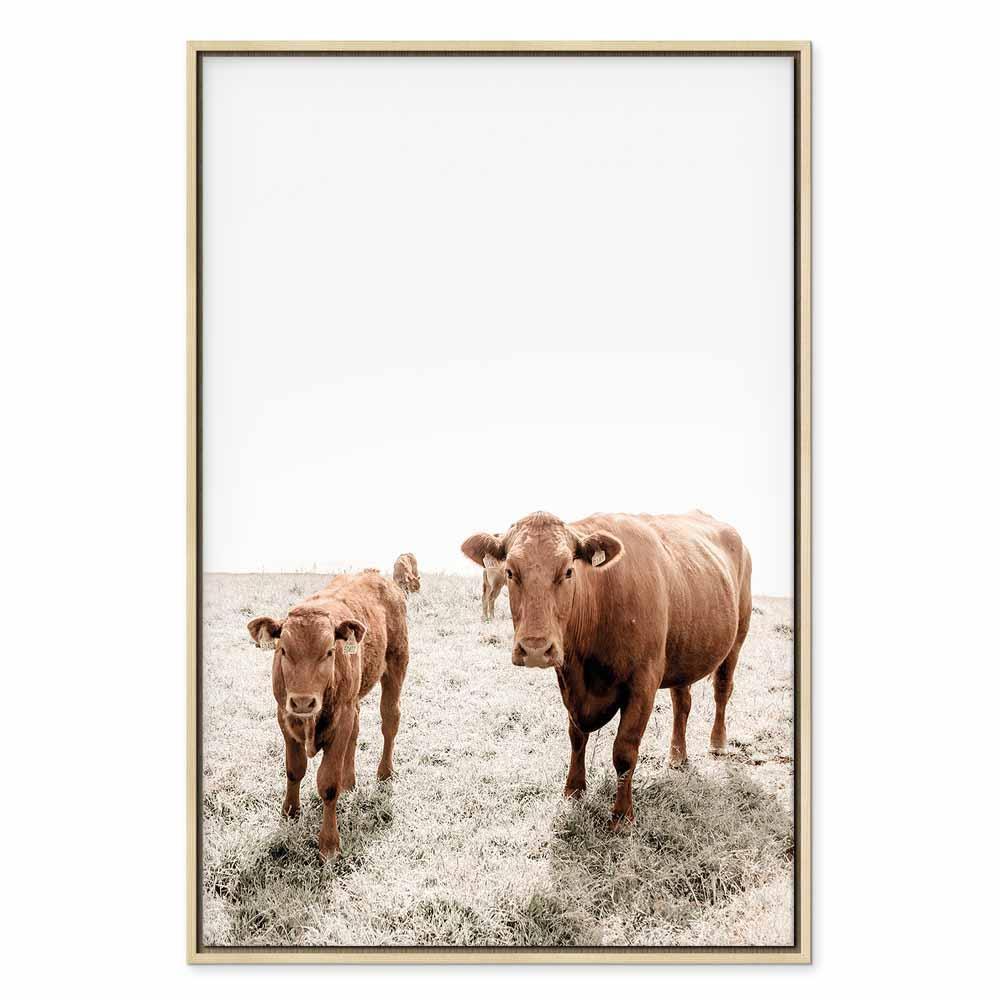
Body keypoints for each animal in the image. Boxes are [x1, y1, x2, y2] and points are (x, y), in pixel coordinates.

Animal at [247, 570, 408, 859]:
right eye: (283, 650)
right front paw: (290, 812)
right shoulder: (284, 715)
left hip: (396, 666)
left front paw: (329, 844)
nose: (303, 701)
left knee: (390, 721)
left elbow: (328, 784)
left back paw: (385, 772)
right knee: (356, 731)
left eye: (329, 651)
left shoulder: (340, 719)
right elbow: (294, 769)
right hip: (354, 699)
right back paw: (349, 780)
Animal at [461, 510, 751, 829]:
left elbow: (624, 751)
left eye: (568, 571)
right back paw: (677, 756)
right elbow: (576, 737)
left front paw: (622, 815)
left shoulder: (643, 685)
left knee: (722, 690)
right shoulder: (570, 685)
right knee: (682, 703)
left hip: (737, 638)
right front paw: (573, 790)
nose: (535, 648)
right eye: (510, 571)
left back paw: (718, 743)